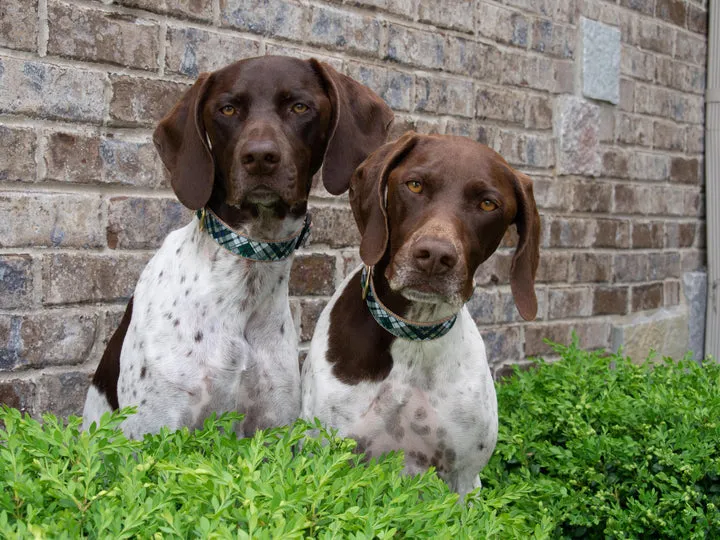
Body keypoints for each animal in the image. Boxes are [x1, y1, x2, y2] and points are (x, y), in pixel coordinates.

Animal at [83, 53, 394, 438]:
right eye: (227, 109)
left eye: (300, 106)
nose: (260, 157)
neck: (246, 274)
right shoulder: (156, 429)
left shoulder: (271, 426)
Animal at [298, 133, 540, 496]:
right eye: (415, 185)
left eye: (488, 204)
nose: (435, 256)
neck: (414, 333)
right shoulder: (326, 453)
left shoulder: (463, 478)